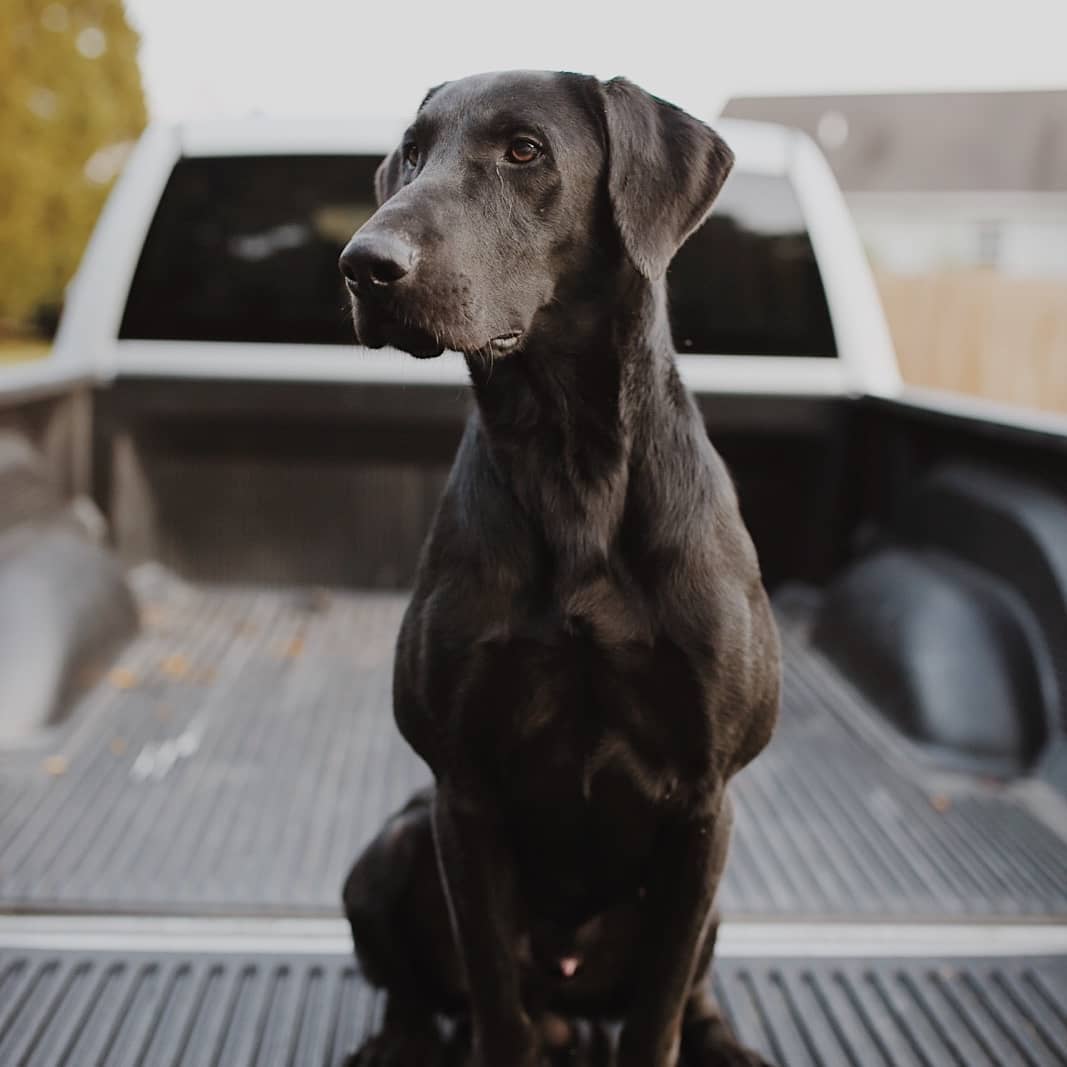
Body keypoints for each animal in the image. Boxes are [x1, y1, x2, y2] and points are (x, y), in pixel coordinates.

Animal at [337, 70, 781, 1062]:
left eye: (524, 150)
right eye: (411, 153)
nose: (363, 263)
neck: (570, 458)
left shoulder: (706, 800)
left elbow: (656, 1010)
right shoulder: (460, 792)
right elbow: (493, 1001)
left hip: (714, 882)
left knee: (690, 982)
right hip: (388, 849)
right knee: (419, 985)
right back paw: (403, 1037)